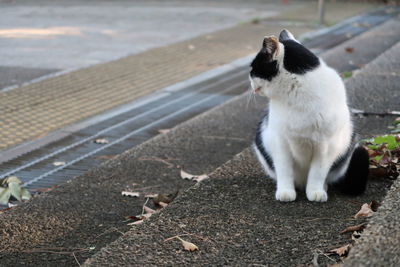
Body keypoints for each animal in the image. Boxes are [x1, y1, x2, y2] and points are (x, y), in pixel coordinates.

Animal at [250, 29, 368, 202]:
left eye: (253, 68)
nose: (249, 80)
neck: (297, 93)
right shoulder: (279, 141)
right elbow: (284, 169)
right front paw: (285, 192)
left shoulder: (327, 146)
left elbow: (318, 172)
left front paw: (316, 192)